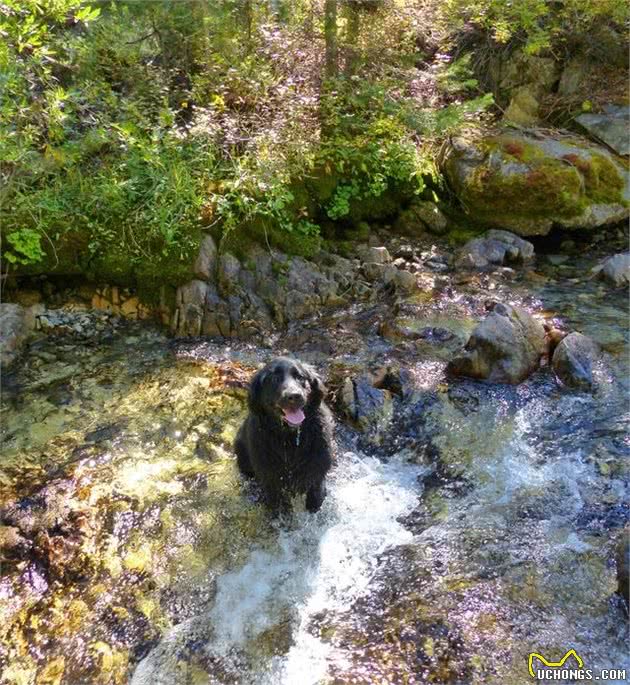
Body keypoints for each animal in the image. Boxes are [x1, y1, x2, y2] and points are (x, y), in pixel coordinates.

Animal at [236, 358, 336, 512]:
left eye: (300, 377)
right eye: (274, 379)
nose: (295, 396)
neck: (289, 437)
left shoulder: (317, 471)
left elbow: (316, 498)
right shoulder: (271, 478)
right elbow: (279, 506)